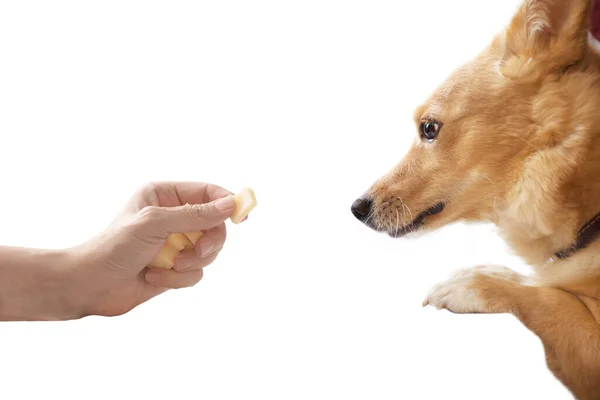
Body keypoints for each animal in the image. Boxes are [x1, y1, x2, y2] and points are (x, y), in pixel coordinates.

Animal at [352, 1, 600, 398]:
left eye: (429, 128)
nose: (356, 208)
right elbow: (537, 282)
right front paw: (490, 272)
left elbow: (552, 299)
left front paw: (473, 286)